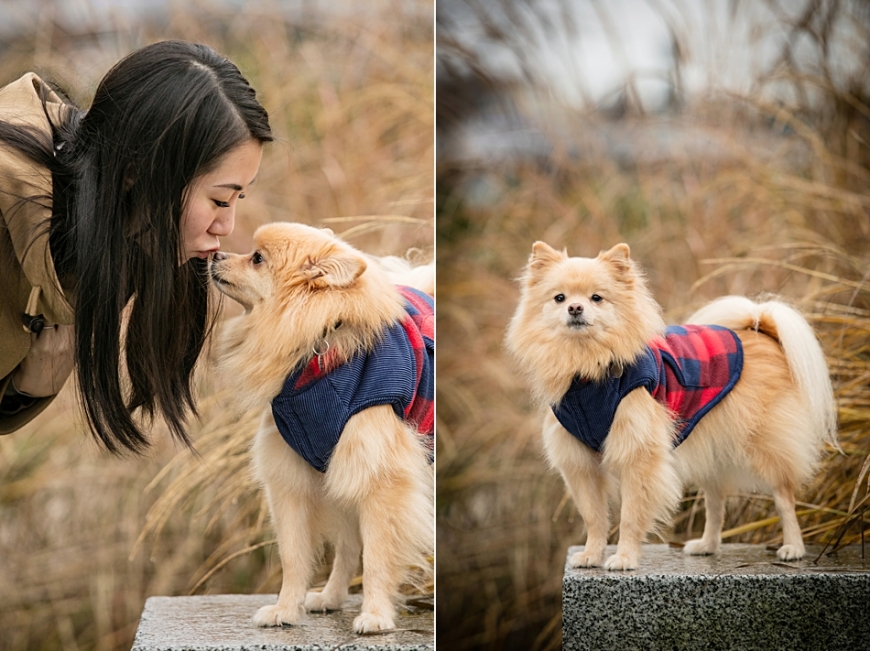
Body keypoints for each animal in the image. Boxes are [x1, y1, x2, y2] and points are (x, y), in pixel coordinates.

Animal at [209, 223, 432, 632]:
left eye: (257, 258)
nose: (216, 254)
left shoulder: (381, 479)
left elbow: (377, 557)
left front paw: (376, 615)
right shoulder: (293, 478)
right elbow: (294, 556)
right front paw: (285, 609)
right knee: (347, 545)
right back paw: (330, 598)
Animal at [508, 243, 840, 572]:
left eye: (596, 298)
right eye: (559, 298)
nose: (575, 308)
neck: (587, 370)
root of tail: (760, 330)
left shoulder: (638, 455)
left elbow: (630, 516)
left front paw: (624, 558)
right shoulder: (580, 464)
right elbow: (594, 517)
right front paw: (591, 555)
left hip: (765, 446)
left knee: (784, 498)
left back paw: (793, 548)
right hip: (712, 450)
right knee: (715, 502)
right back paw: (707, 545)